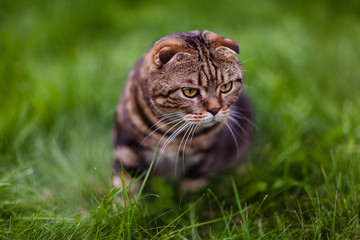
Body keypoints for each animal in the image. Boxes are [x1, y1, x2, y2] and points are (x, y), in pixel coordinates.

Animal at [112, 31, 253, 194]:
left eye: (226, 86)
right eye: (190, 91)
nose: (215, 110)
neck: (171, 130)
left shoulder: (203, 160)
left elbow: (192, 192)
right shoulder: (126, 148)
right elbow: (125, 187)